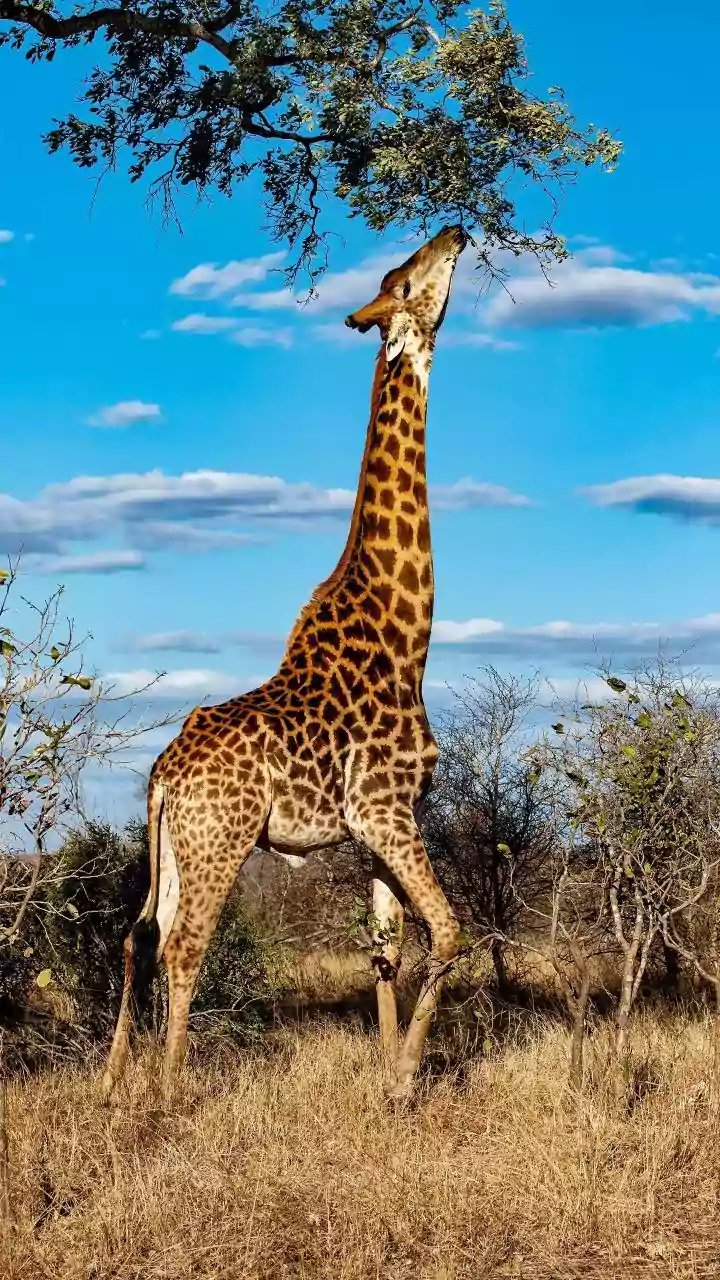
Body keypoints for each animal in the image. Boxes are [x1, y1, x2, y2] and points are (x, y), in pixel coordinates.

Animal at [101, 224, 468, 1105]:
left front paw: (386, 1075)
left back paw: (114, 1079)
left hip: (175, 841)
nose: (456, 231)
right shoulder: (387, 808)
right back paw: (167, 1092)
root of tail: (163, 774)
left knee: (139, 935)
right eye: (405, 281)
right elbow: (449, 932)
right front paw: (407, 1078)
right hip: (221, 837)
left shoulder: (377, 824)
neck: (407, 634)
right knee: (183, 944)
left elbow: (386, 947)